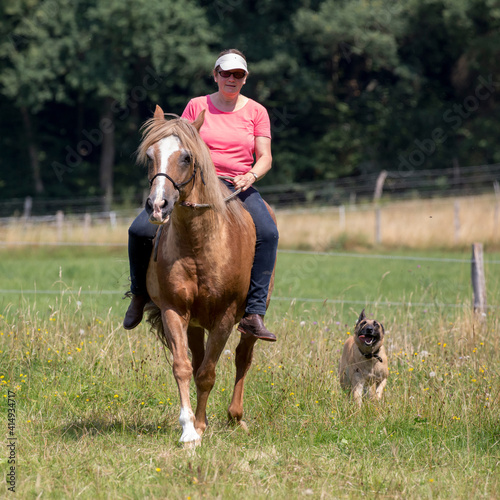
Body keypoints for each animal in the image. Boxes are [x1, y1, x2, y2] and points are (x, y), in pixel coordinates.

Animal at [137, 104, 276, 446]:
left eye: (186, 157)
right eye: (150, 155)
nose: (157, 206)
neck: (199, 242)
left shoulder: (225, 316)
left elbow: (208, 373)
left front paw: (200, 425)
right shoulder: (175, 311)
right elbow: (184, 367)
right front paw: (190, 429)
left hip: (247, 318)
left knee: (243, 356)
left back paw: (235, 416)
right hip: (195, 323)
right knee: (199, 357)